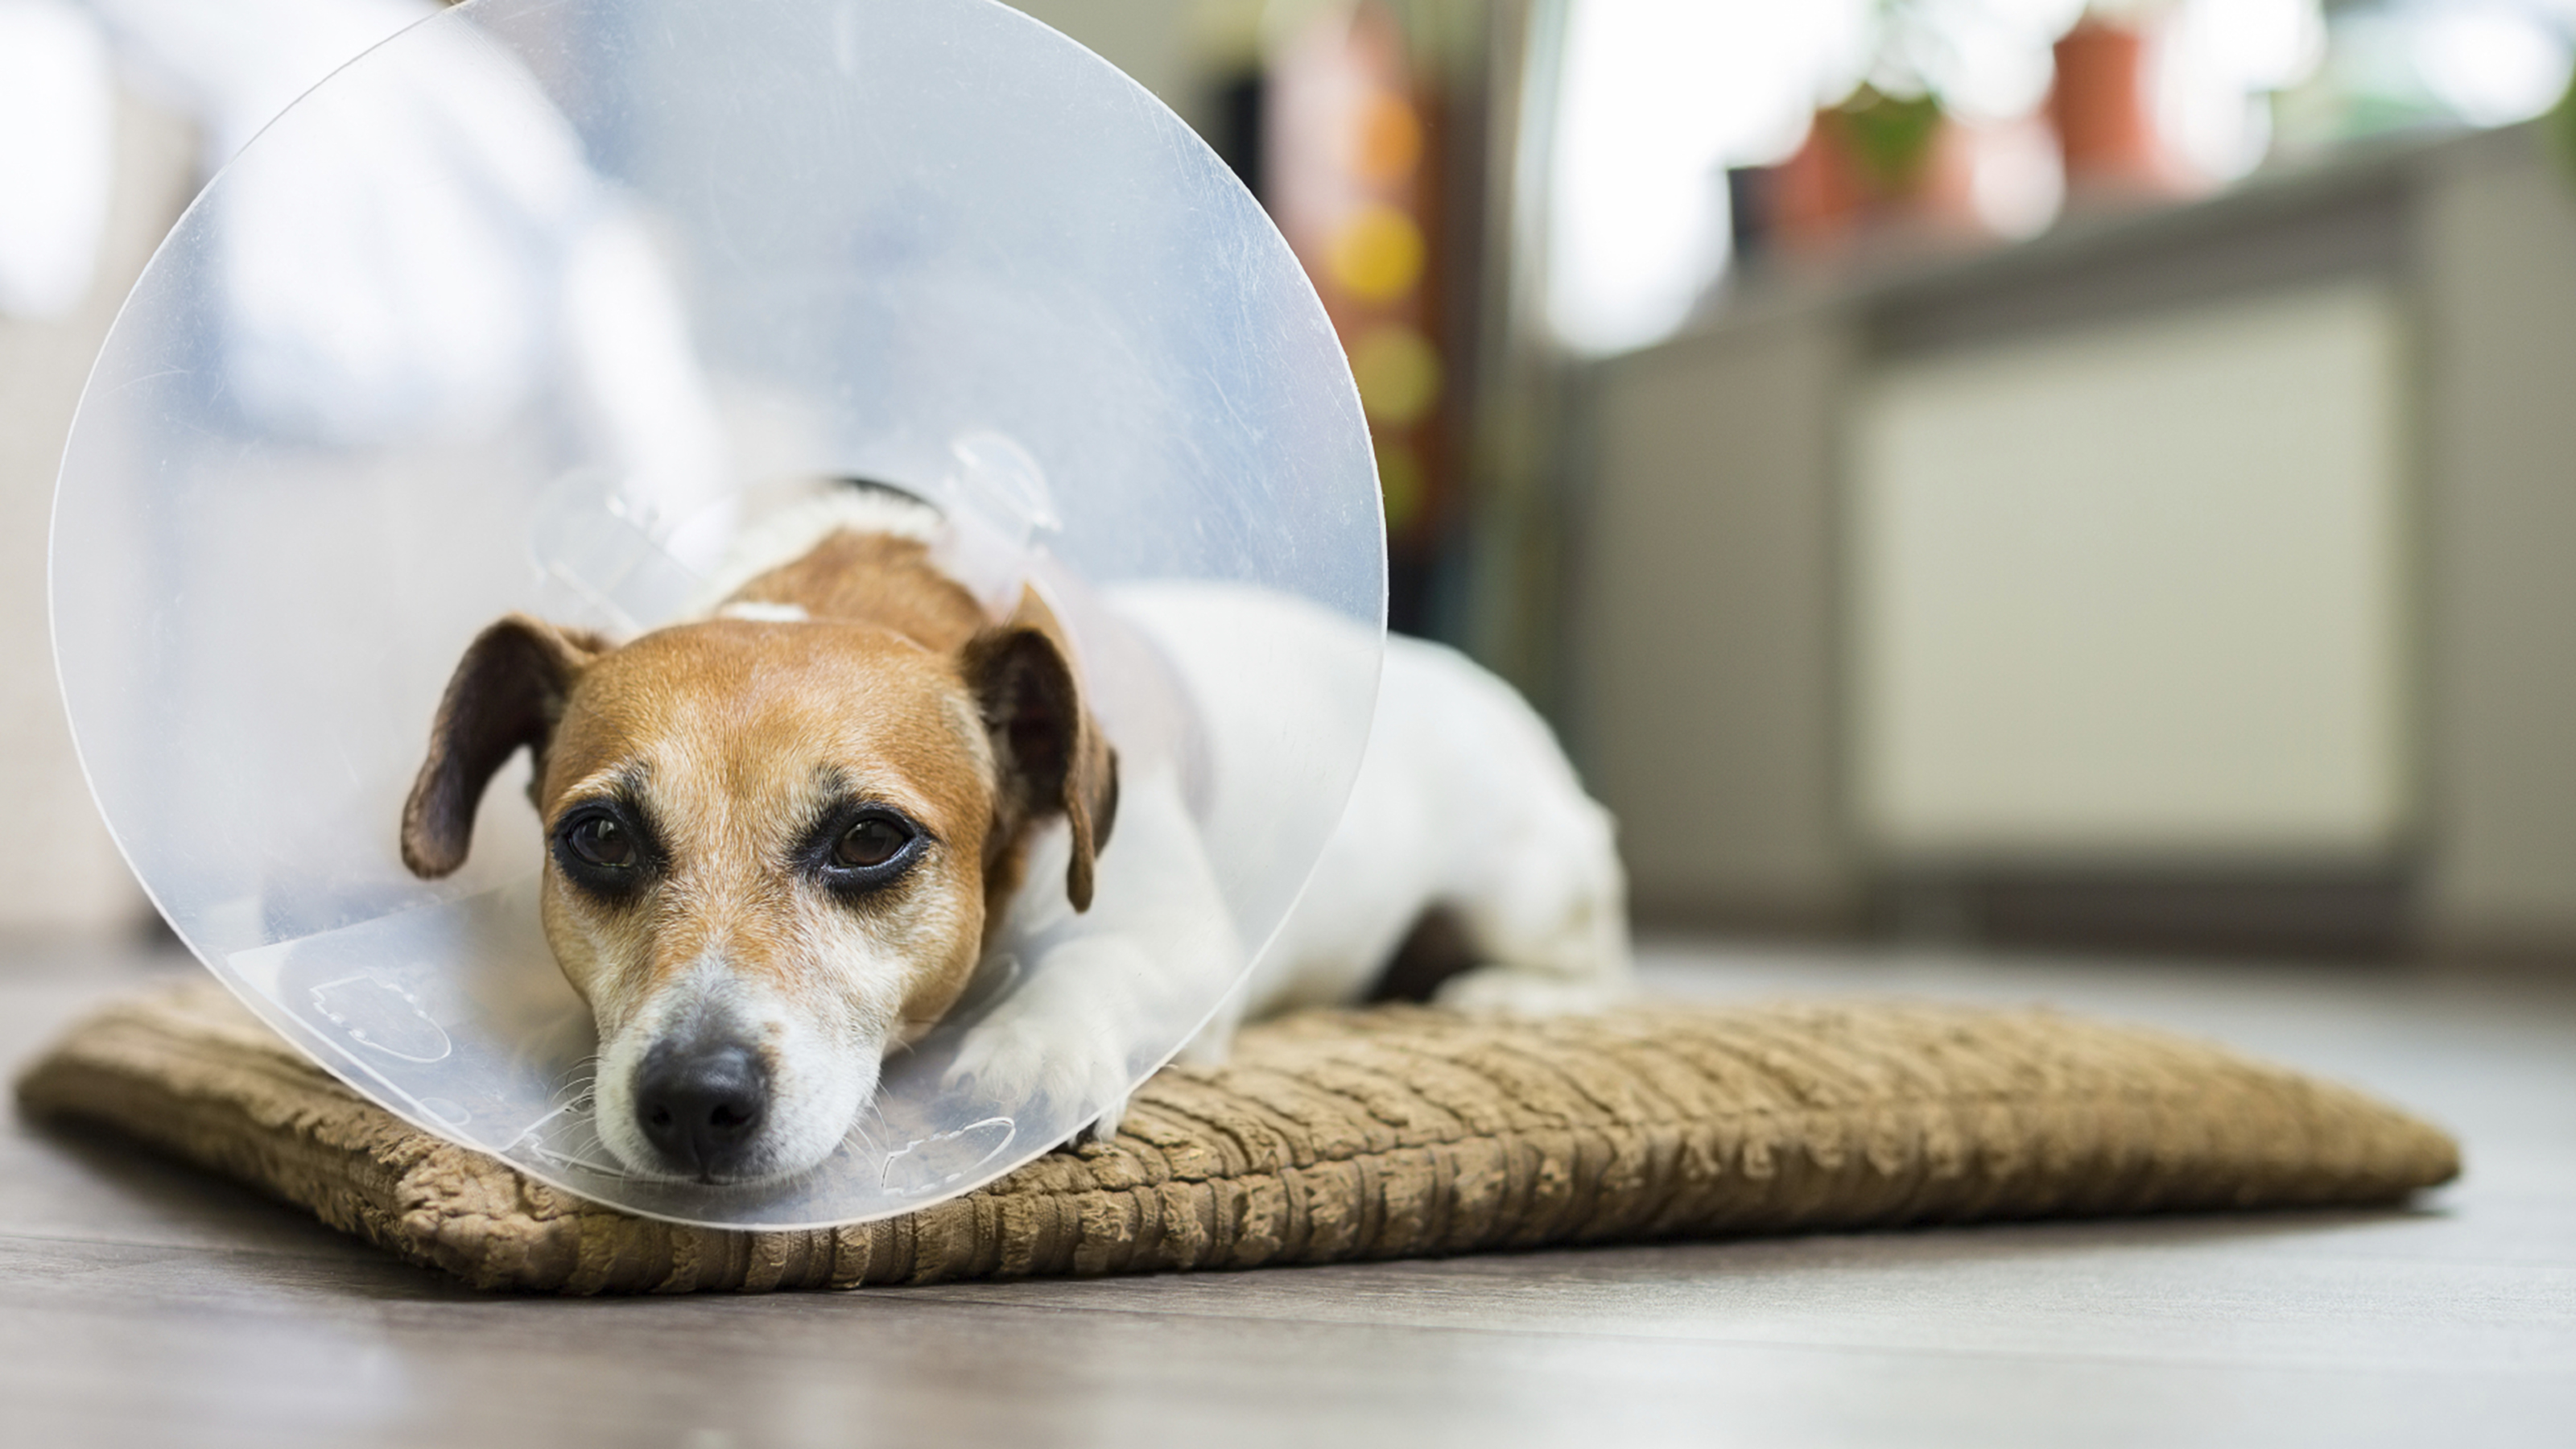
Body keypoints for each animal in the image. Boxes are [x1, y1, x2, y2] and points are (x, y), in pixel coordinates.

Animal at [396, 489, 1628, 1180]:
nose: (696, 1100)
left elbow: (1098, 967)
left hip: (1521, 888)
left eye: (868, 840)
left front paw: (1037, 1049)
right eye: (600, 837)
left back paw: (1502, 995)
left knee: (1597, 962)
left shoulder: (1186, 947)